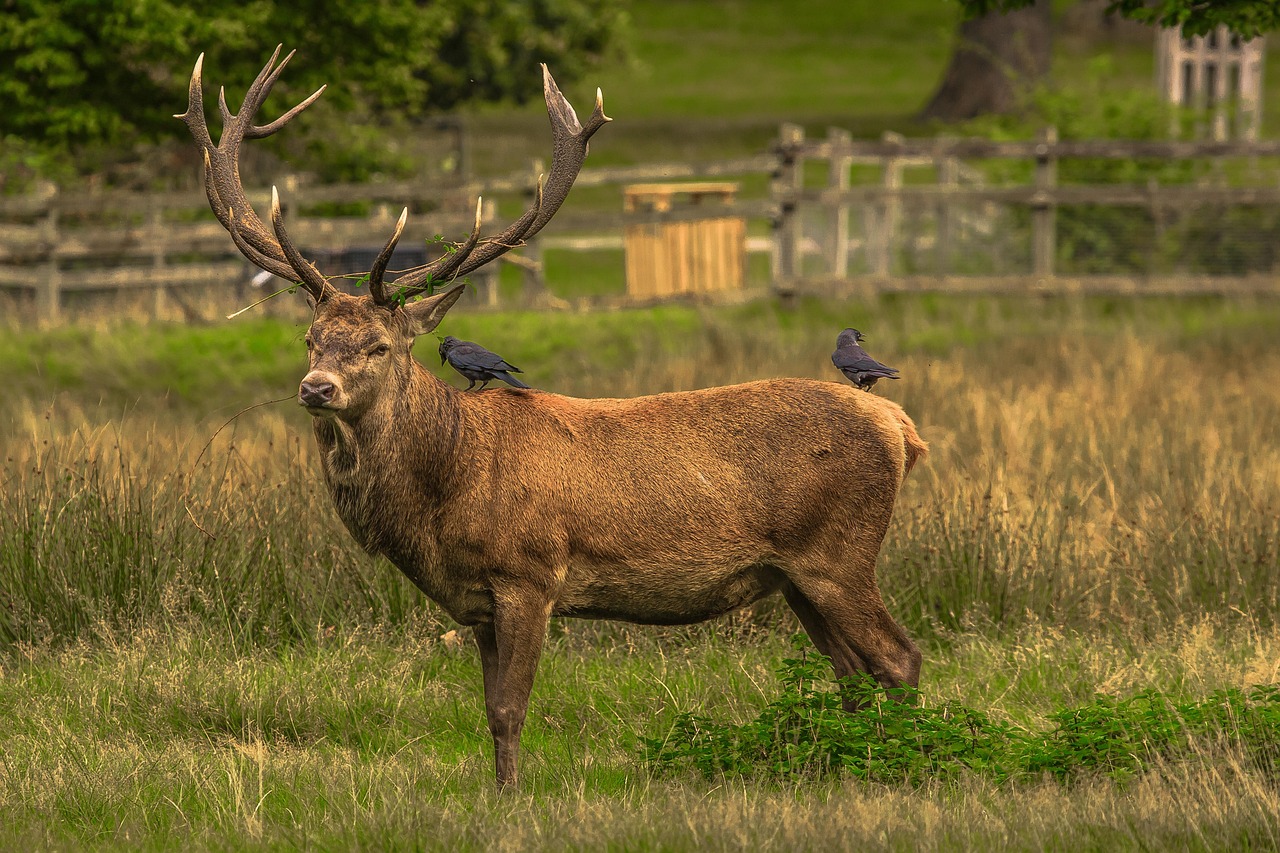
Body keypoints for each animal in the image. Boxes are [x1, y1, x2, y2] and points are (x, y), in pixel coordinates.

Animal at [178, 46, 928, 787]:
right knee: (853, 671)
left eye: (379, 345)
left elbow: (511, 706)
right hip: (797, 575)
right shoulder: (479, 602)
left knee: (899, 658)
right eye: (310, 339)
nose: (316, 387)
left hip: (840, 552)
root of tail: (899, 427)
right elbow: (487, 708)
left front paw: (512, 798)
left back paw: (905, 764)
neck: (447, 489)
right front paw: (496, 789)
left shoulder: (529, 574)